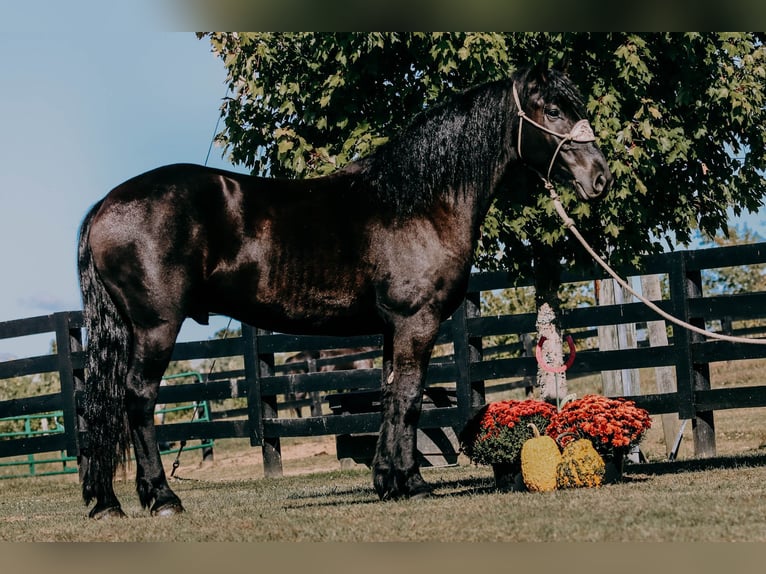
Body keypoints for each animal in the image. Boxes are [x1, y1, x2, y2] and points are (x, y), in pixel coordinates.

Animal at [73, 65, 612, 520]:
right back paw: (162, 498)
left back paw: (108, 502)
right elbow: (410, 397)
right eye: (555, 111)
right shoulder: (416, 321)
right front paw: (410, 483)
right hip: (155, 328)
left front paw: (393, 478)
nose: (600, 177)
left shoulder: (394, 328)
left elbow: (391, 393)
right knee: (138, 399)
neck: (419, 201)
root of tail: (105, 205)